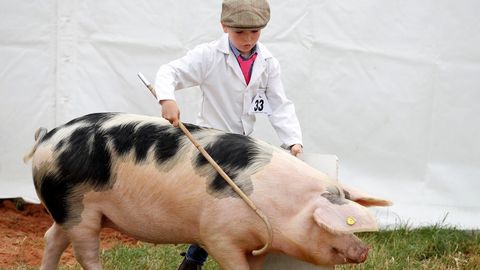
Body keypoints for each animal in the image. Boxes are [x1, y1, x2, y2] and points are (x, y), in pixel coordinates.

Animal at [23, 112, 390, 270]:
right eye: (332, 224)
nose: (363, 250)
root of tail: (48, 137)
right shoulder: (218, 234)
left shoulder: (256, 243)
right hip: (78, 209)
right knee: (85, 253)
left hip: (69, 207)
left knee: (52, 238)